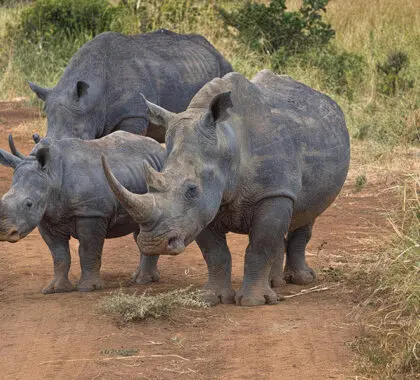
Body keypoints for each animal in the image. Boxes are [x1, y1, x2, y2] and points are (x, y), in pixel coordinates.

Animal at [0, 132, 165, 292]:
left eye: (29, 204)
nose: (5, 233)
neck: (52, 176)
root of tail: (160, 148)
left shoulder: (91, 213)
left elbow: (88, 250)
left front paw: (88, 288)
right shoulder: (46, 217)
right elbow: (59, 254)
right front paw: (55, 289)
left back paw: (142, 281)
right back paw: (142, 278)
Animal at [102, 69, 352, 306]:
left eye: (192, 190)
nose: (152, 243)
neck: (226, 143)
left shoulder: (272, 193)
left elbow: (259, 247)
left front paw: (253, 302)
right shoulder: (203, 208)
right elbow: (216, 254)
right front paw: (212, 298)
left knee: (308, 214)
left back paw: (302, 280)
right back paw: (275, 284)